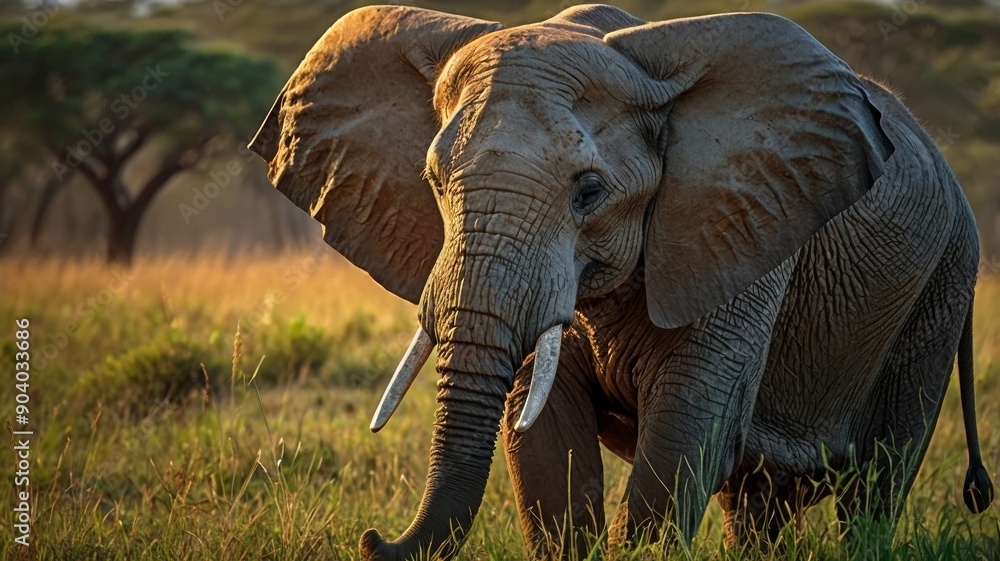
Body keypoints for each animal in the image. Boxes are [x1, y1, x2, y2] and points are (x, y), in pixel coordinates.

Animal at [248, 4, 995, 559]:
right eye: (434, 182)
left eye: (589, 191)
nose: (372, 537)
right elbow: (545, 436)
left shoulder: (740, 225)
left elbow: (688, 427)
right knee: (761, 498)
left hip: (943, 280)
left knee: (879, 479)